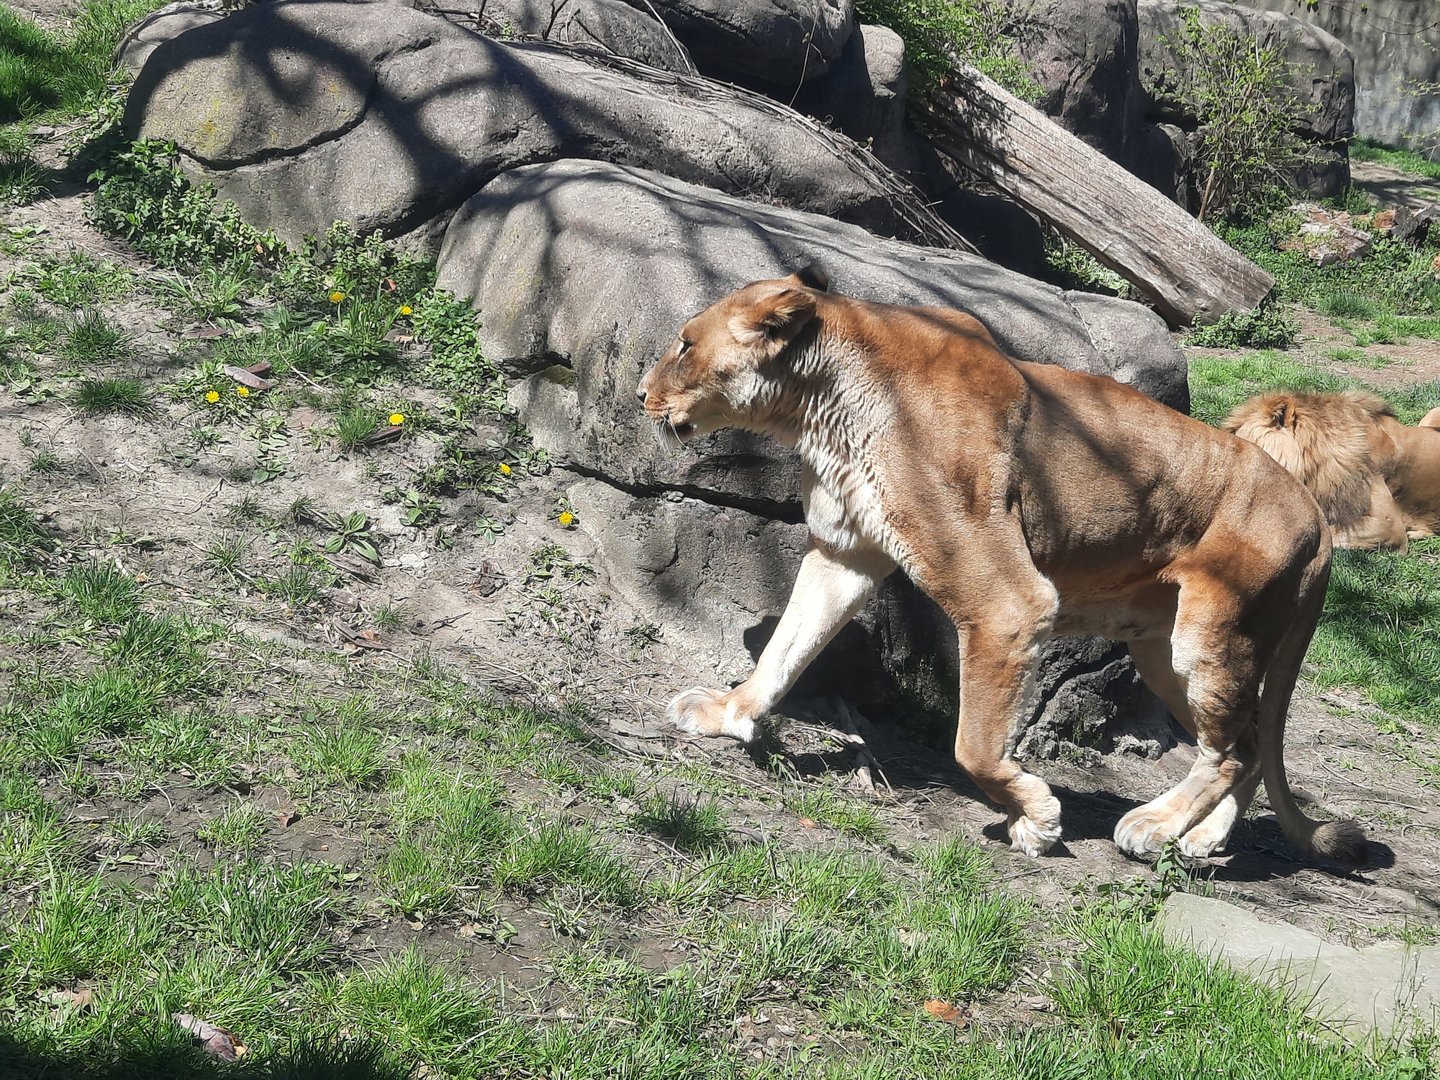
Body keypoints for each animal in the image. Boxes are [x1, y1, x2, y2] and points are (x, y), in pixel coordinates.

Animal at [637, 266, 1365, 867]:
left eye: (684, 344)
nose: (640, 391)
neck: (822, 405)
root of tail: (1316, 516)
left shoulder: (1008, 602)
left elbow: (975, 745)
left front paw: (1035, 819)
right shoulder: (845, 550)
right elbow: (786, 648)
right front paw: (727, 712)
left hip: (1212, 637)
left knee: (1234, 750)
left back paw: (1154, 827)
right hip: (1164, 653)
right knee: (1248, 747)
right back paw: (1201, 840)